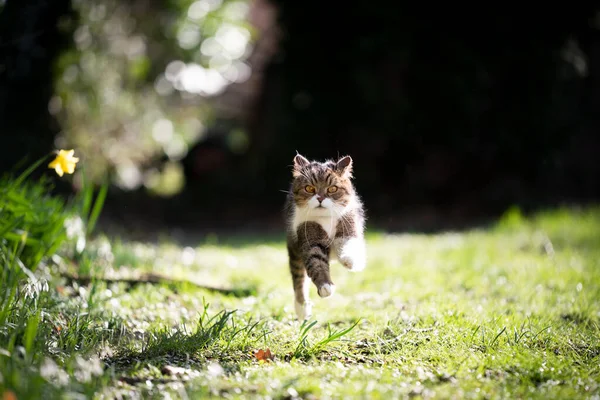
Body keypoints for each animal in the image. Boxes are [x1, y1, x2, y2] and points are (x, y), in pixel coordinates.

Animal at [284, 152, 368, 320]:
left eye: (332, 188)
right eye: (310, 188)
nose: (320, 198)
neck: (325, 218)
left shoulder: (348, 224)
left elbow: (348, 243)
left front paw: (350, 261)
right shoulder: (309, 237)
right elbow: (316, 262)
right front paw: (325, 286)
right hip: (294, 250)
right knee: (298, 278)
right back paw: (302, 308)